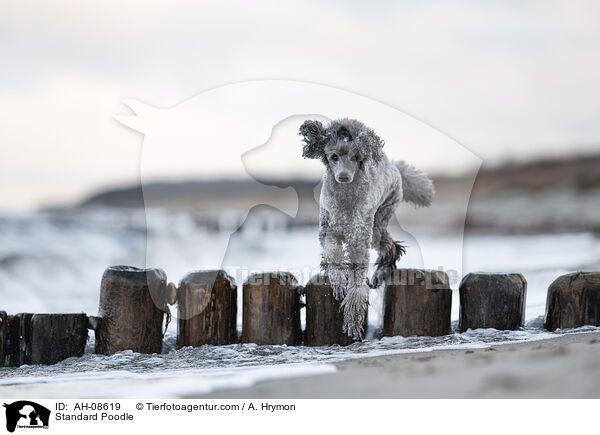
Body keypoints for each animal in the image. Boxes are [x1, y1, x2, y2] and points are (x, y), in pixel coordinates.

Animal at [302, 118, 434, 340]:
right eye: (334, 156)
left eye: (356, 157)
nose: (344, 176)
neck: (345, 200)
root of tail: (394, 166)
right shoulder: (329, 232)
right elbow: (333, 256)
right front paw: (338, 281)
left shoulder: (358, 241)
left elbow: (357, 283)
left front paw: (353, 320)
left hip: (379, 218)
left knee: (390, 246)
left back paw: (380, 274)